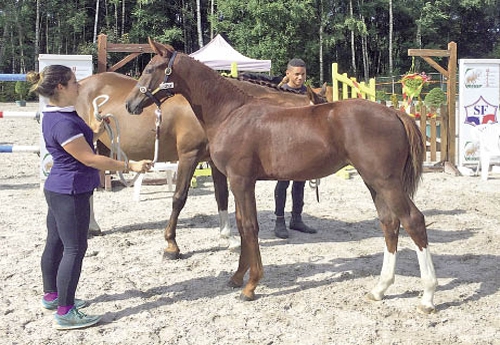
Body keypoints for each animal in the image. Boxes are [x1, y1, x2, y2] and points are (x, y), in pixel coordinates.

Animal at [76, 72, 314, 258]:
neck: (221, 107)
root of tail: (81, 84)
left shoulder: (216, 163)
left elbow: (222, 196)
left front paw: (229, 239)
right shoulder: (188, 157)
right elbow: (179, 198)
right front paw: (172, 245)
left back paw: (93, 226)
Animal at [124, 39, 438, 312]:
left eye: (150, 69)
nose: (130, 104)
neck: (231, 113)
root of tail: (395, 114)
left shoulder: (241, 180)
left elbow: (249, 226)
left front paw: (250, 286)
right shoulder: (240, 182)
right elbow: (242, 225)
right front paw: (237, 277)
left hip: (386, 182)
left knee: (413, 221)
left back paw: (427, 297)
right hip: (374, 182)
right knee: (390, 224)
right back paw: (380, 289)